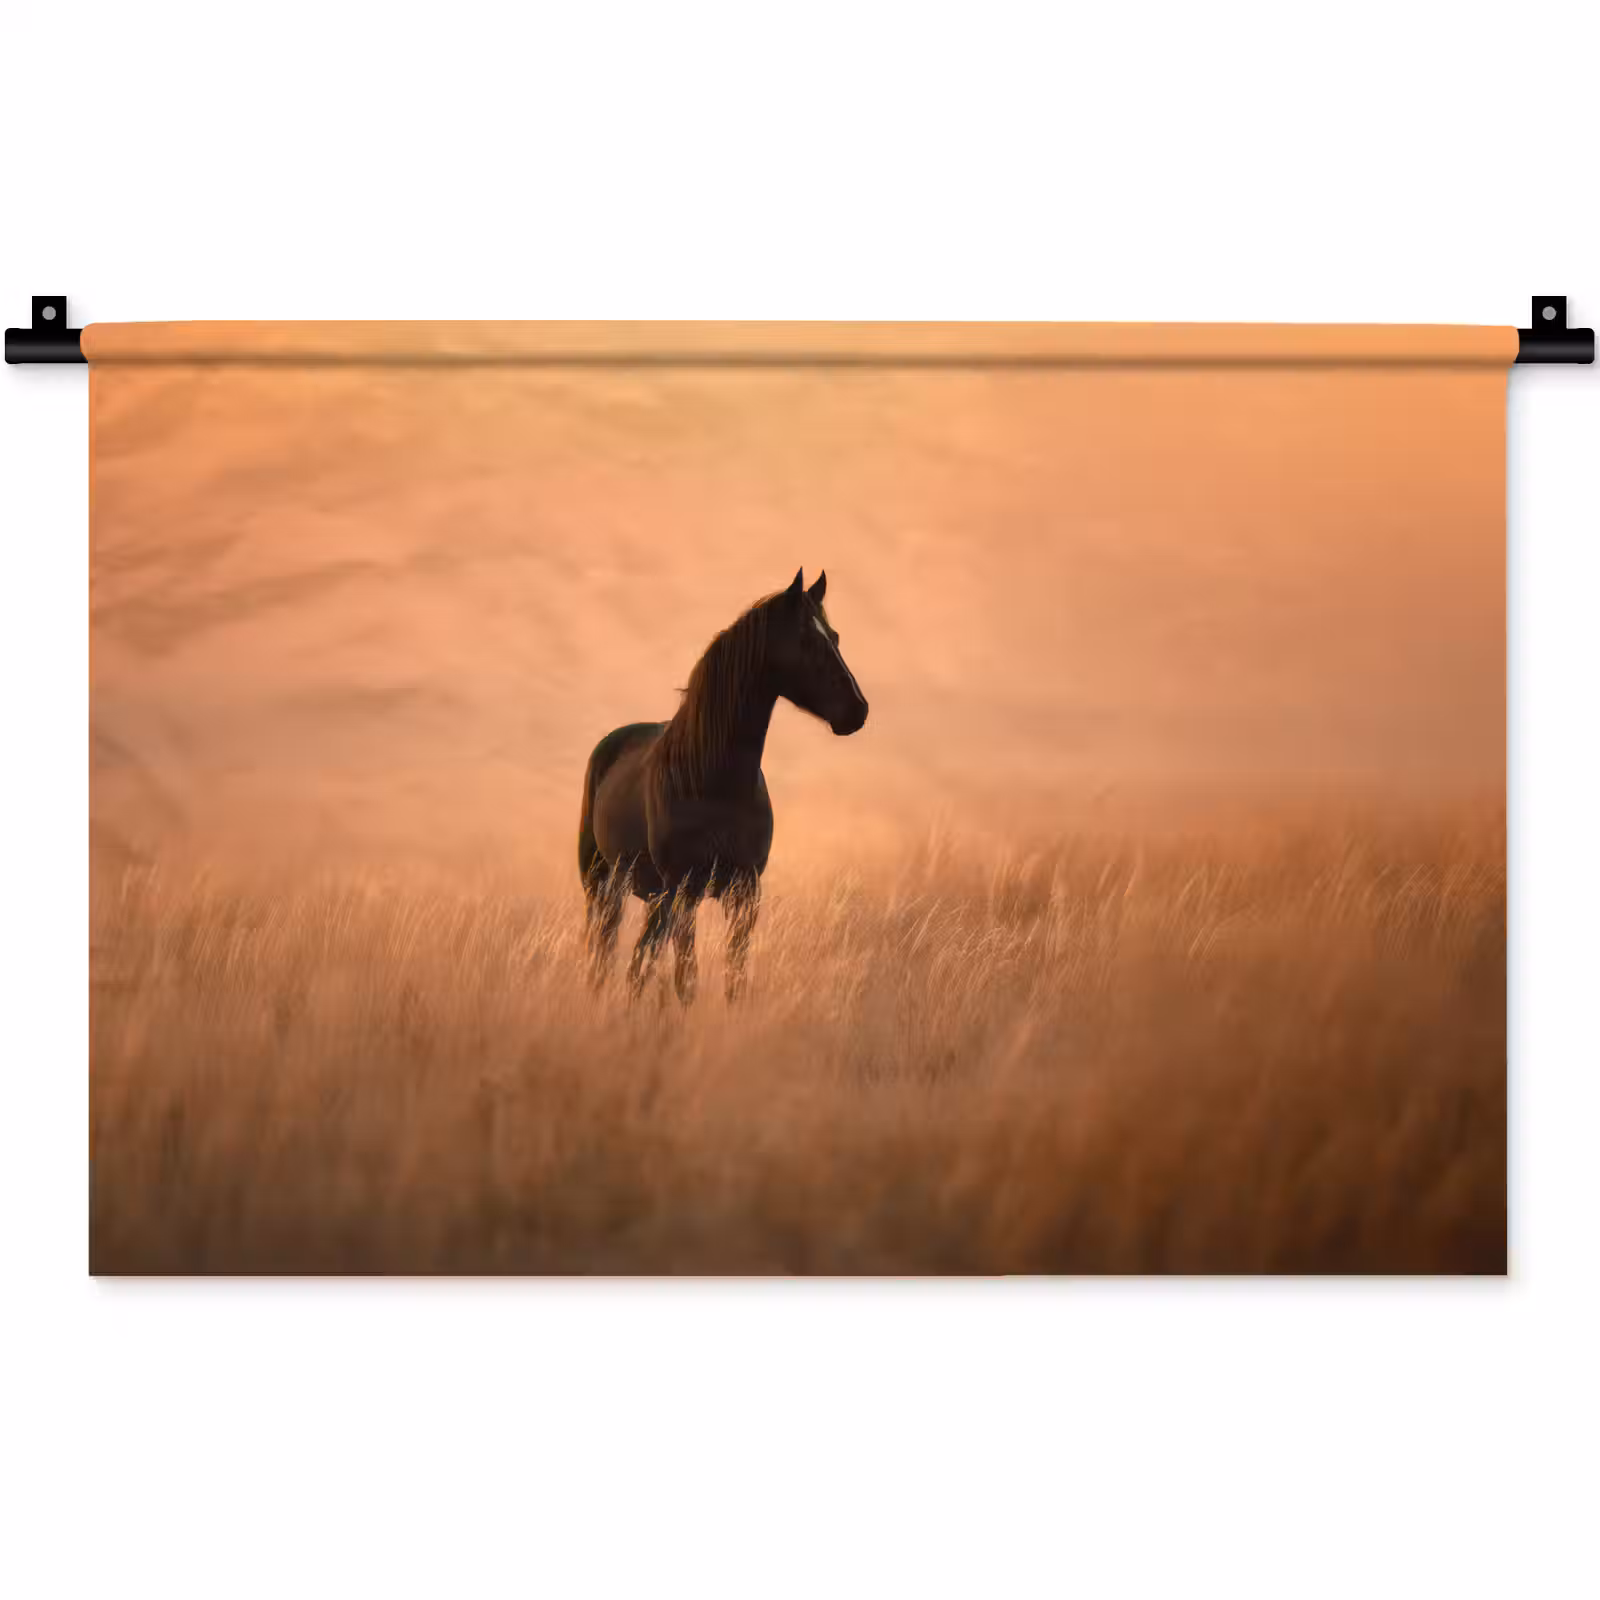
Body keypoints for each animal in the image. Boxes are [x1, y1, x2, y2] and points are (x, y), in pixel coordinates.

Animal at [577, 568, 869, 1003]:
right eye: (805, 640)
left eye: (834, 636)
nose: (857, 710)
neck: (714, 782)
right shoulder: (685, 891)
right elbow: (686, 979)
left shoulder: (744, 893)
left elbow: (735, 978)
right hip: (605, 885)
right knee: (609, 956)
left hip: (652, 897)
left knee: (638, 961)